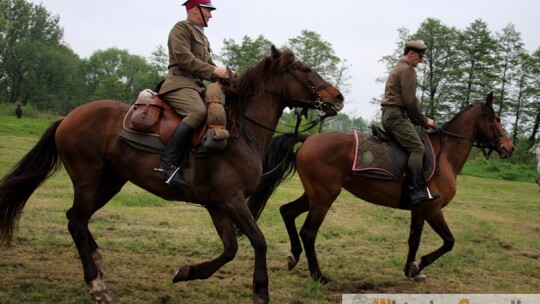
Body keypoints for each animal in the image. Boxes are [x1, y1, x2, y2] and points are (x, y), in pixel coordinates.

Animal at [0, 45, 344, 304]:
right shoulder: (232, 201)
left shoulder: (218, 205)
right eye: (305, 69)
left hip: (109, 182)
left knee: (77, 219)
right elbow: (258, 242)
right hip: (88, 178)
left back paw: (97, 263)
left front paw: (187, 272)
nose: (338, 97)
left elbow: (230, 249)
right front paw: (261, 290)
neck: (238, 131)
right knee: (75, 221)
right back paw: (96, 285)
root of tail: (69, 117)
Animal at [247, 92, 512, 282]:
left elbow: (414, 239)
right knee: (308, 232)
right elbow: (449, 241)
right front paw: (418, 265)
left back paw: (294, 257)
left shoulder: (420, 209)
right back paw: (318, 276)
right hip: (324, 197)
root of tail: (309, 138)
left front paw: (410, 269)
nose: (509, 148)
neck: (443, 155)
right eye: (497, 119)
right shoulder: (433, 208)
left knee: (287, 212)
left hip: (314, 194)